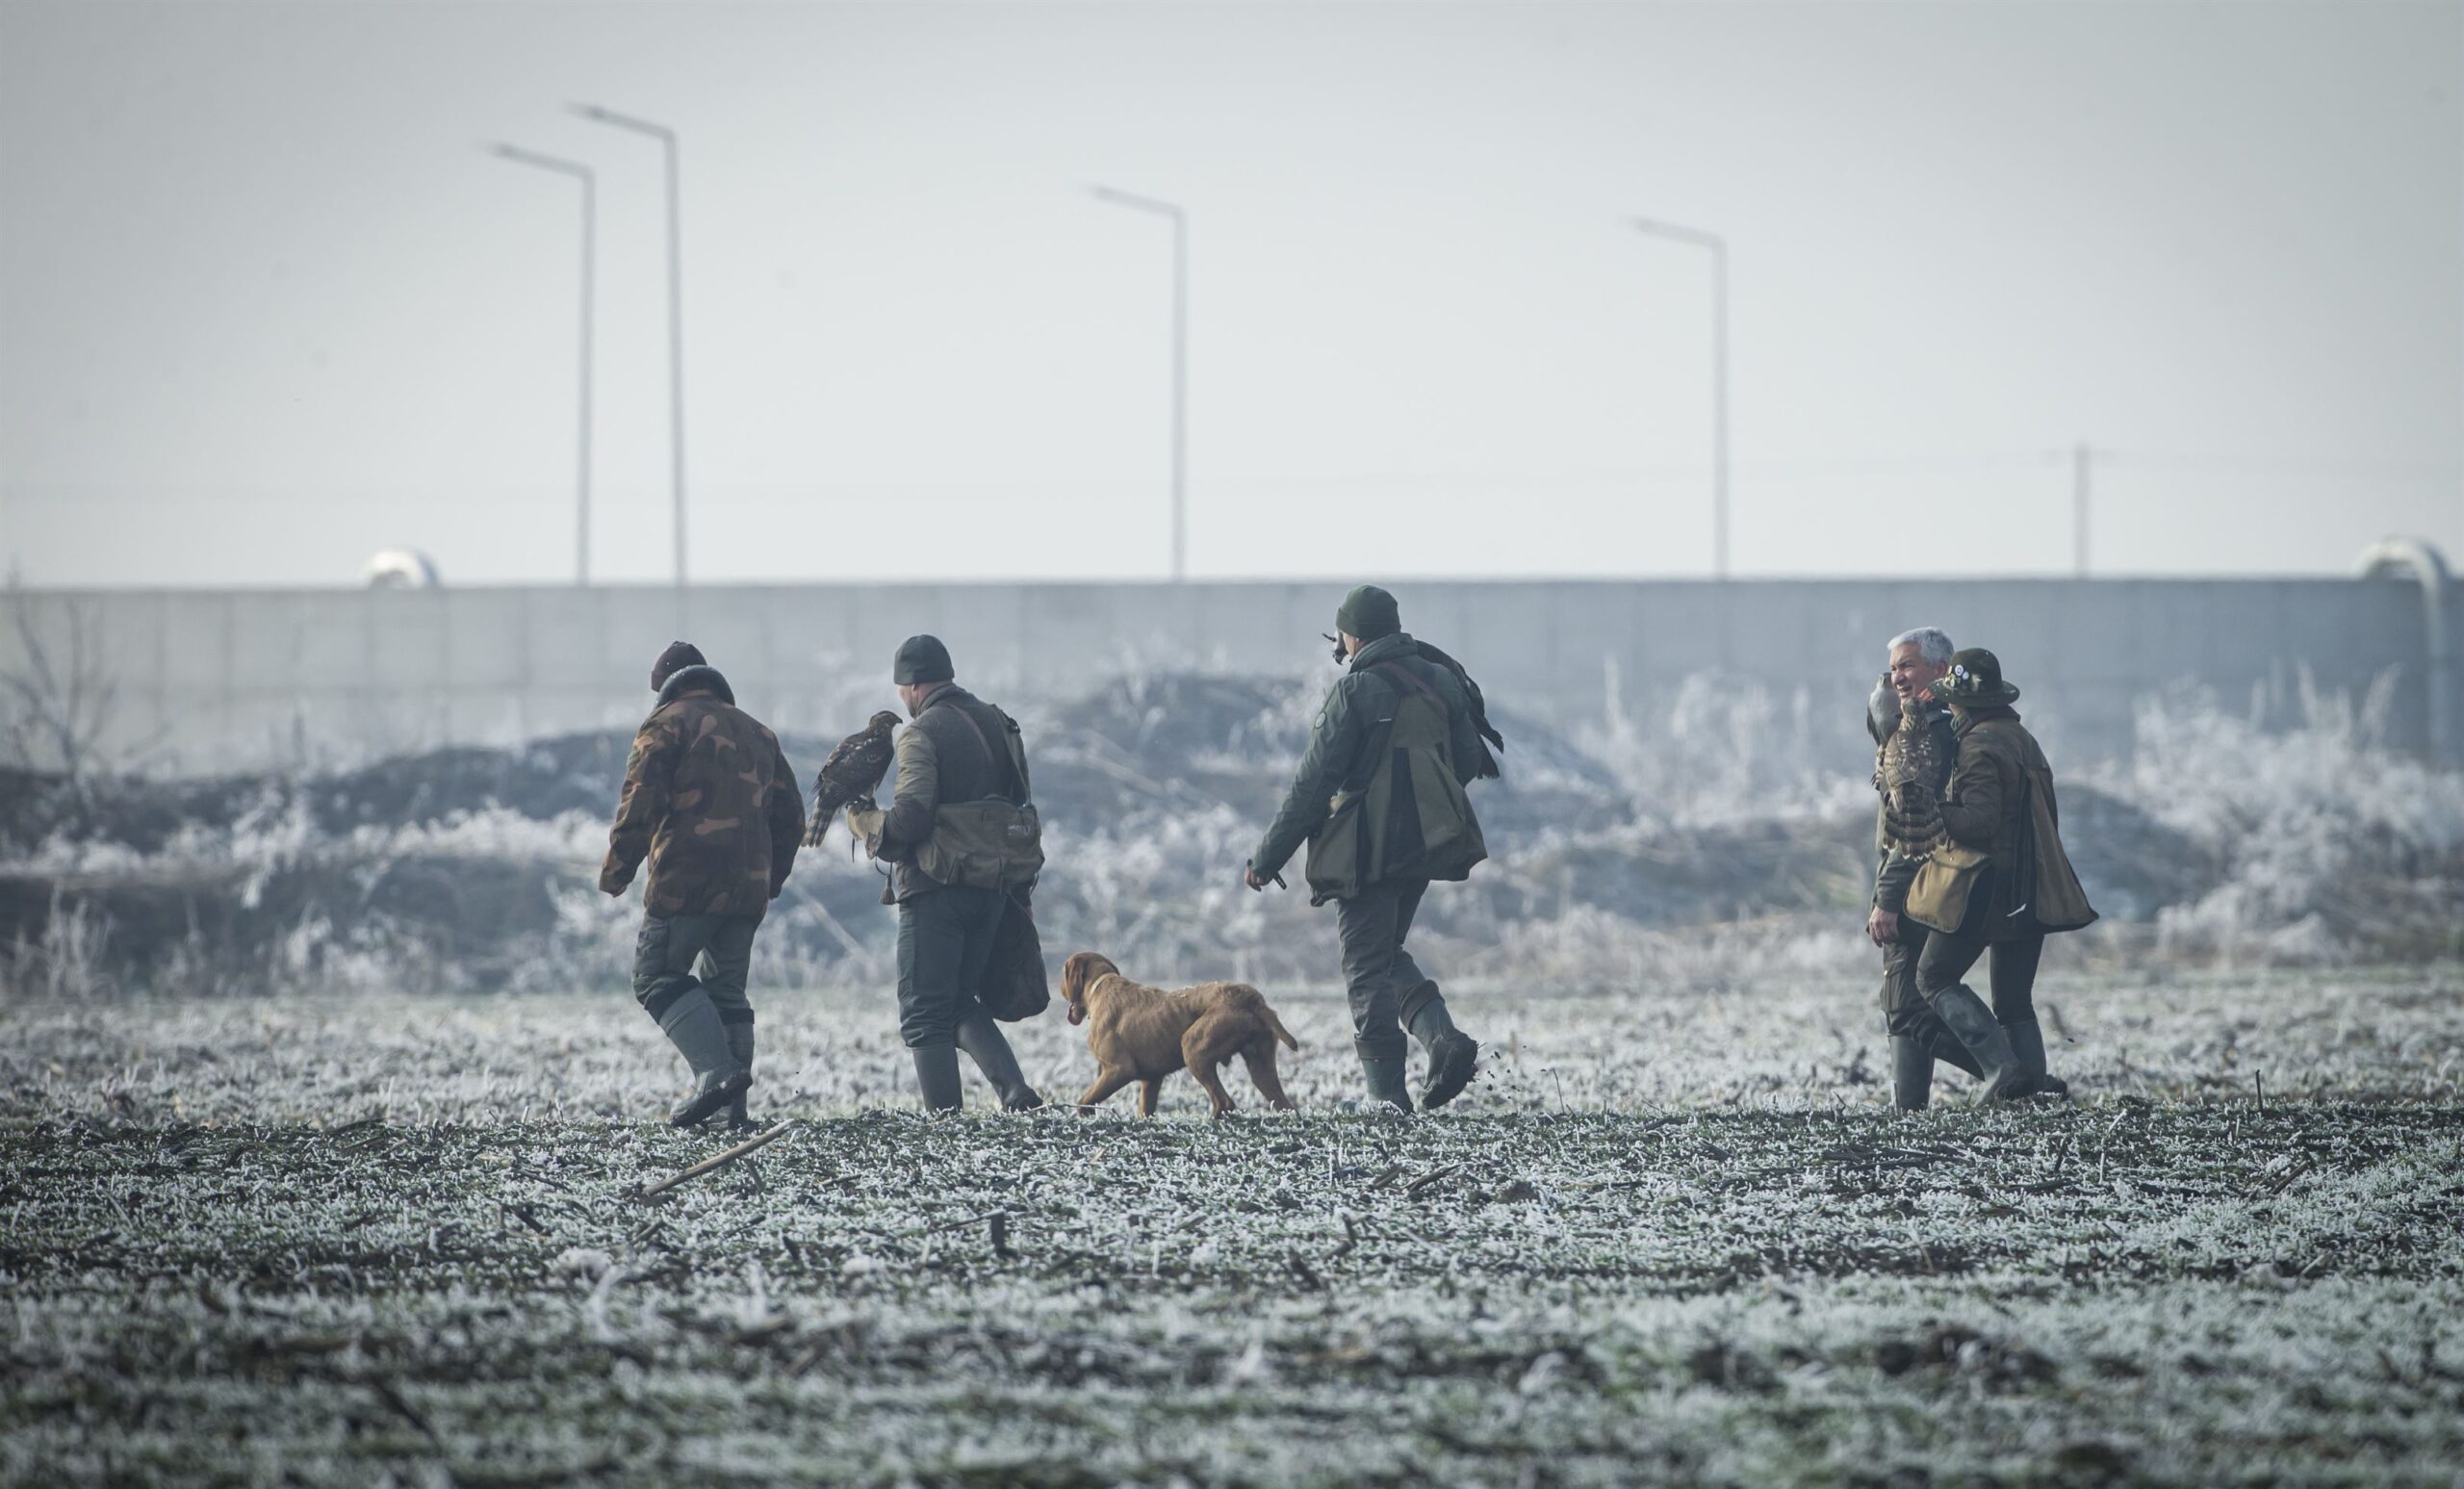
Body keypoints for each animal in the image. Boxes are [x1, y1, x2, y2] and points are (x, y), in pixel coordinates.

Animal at [1059, 951, 1301, 1119]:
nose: (1059, 987)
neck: (1099, 985)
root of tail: (1252, 998)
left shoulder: (1119, 1070)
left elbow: (1086, 1099)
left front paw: (1086, 1115)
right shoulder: (1151, 1080)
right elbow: (1144, 1110)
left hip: (1193, 1047)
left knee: (1224, 1102)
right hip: (1261, 1068)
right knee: (1285, 1106)